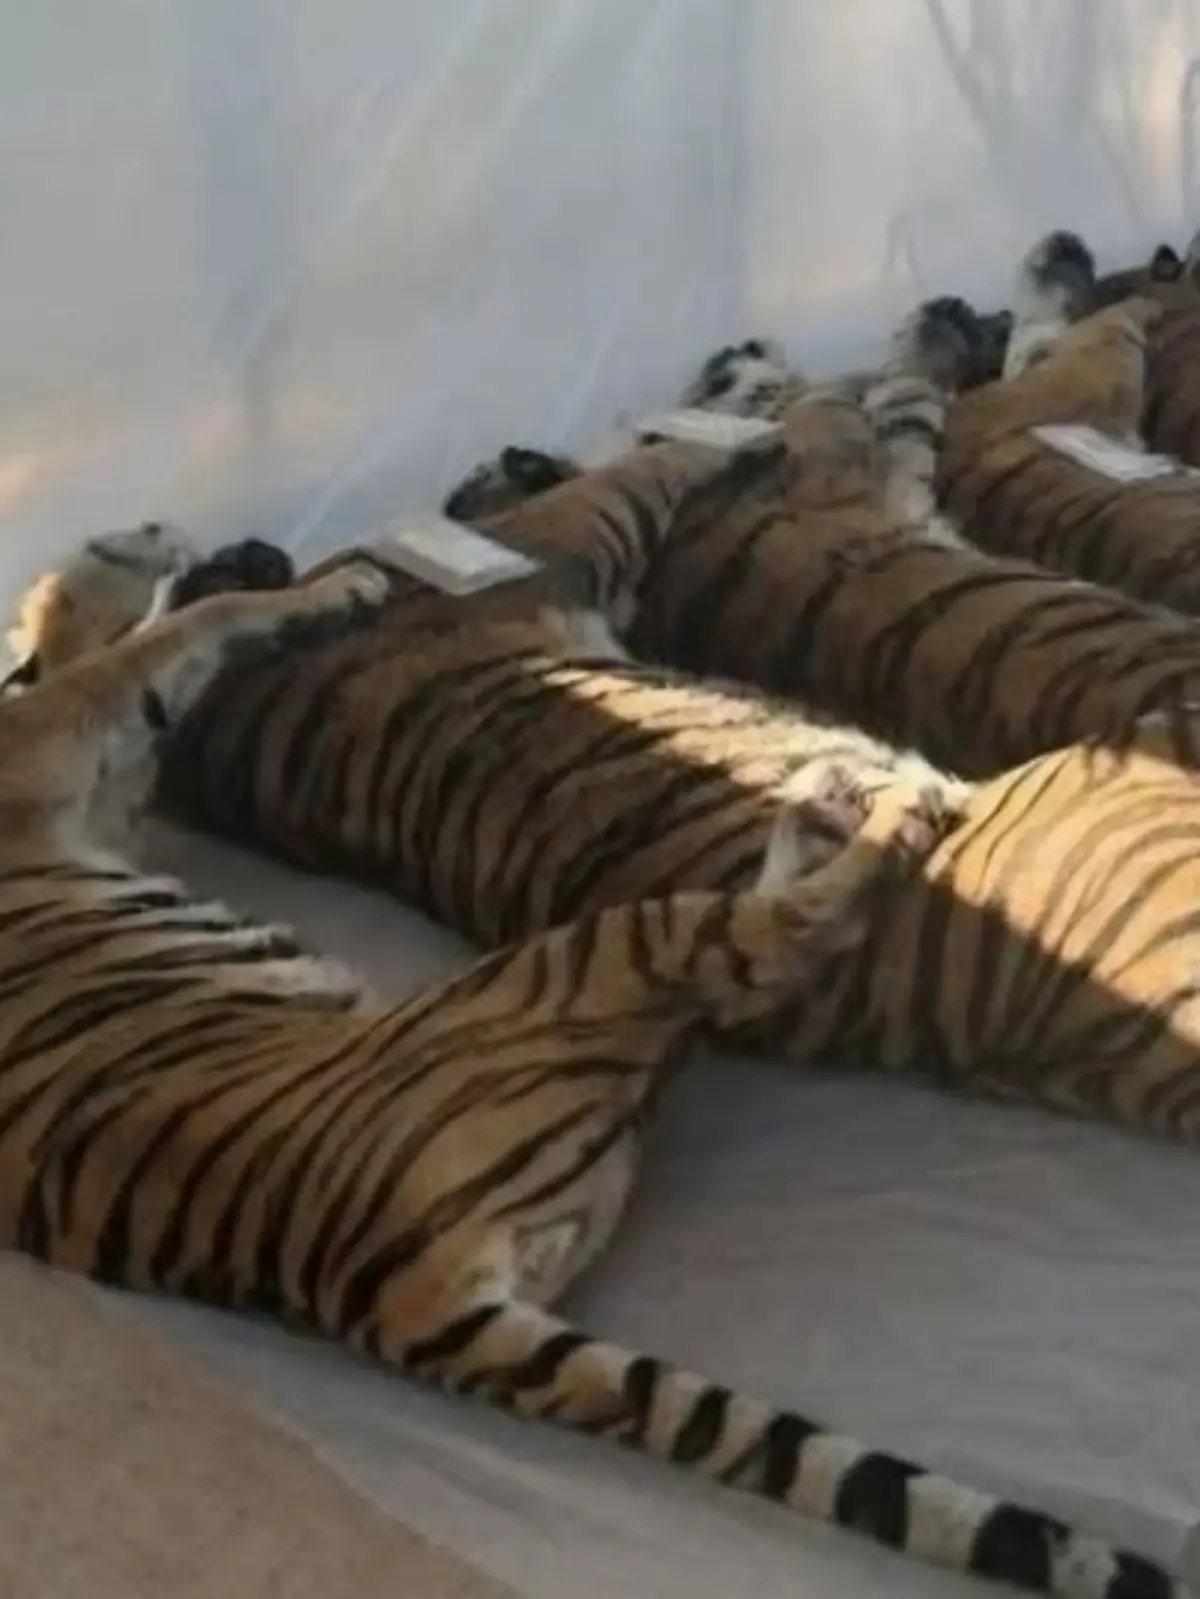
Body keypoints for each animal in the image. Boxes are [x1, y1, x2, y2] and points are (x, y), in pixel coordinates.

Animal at [0, 519, 1152, 1599]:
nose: (175, 531)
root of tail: (386, 1299)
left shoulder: (103, 790)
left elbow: (134, 660)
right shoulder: (58, 737)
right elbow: (168, 634)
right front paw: (302, 588)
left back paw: (820, 802)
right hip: (580, 956)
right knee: (768, 942)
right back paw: (883, 801)